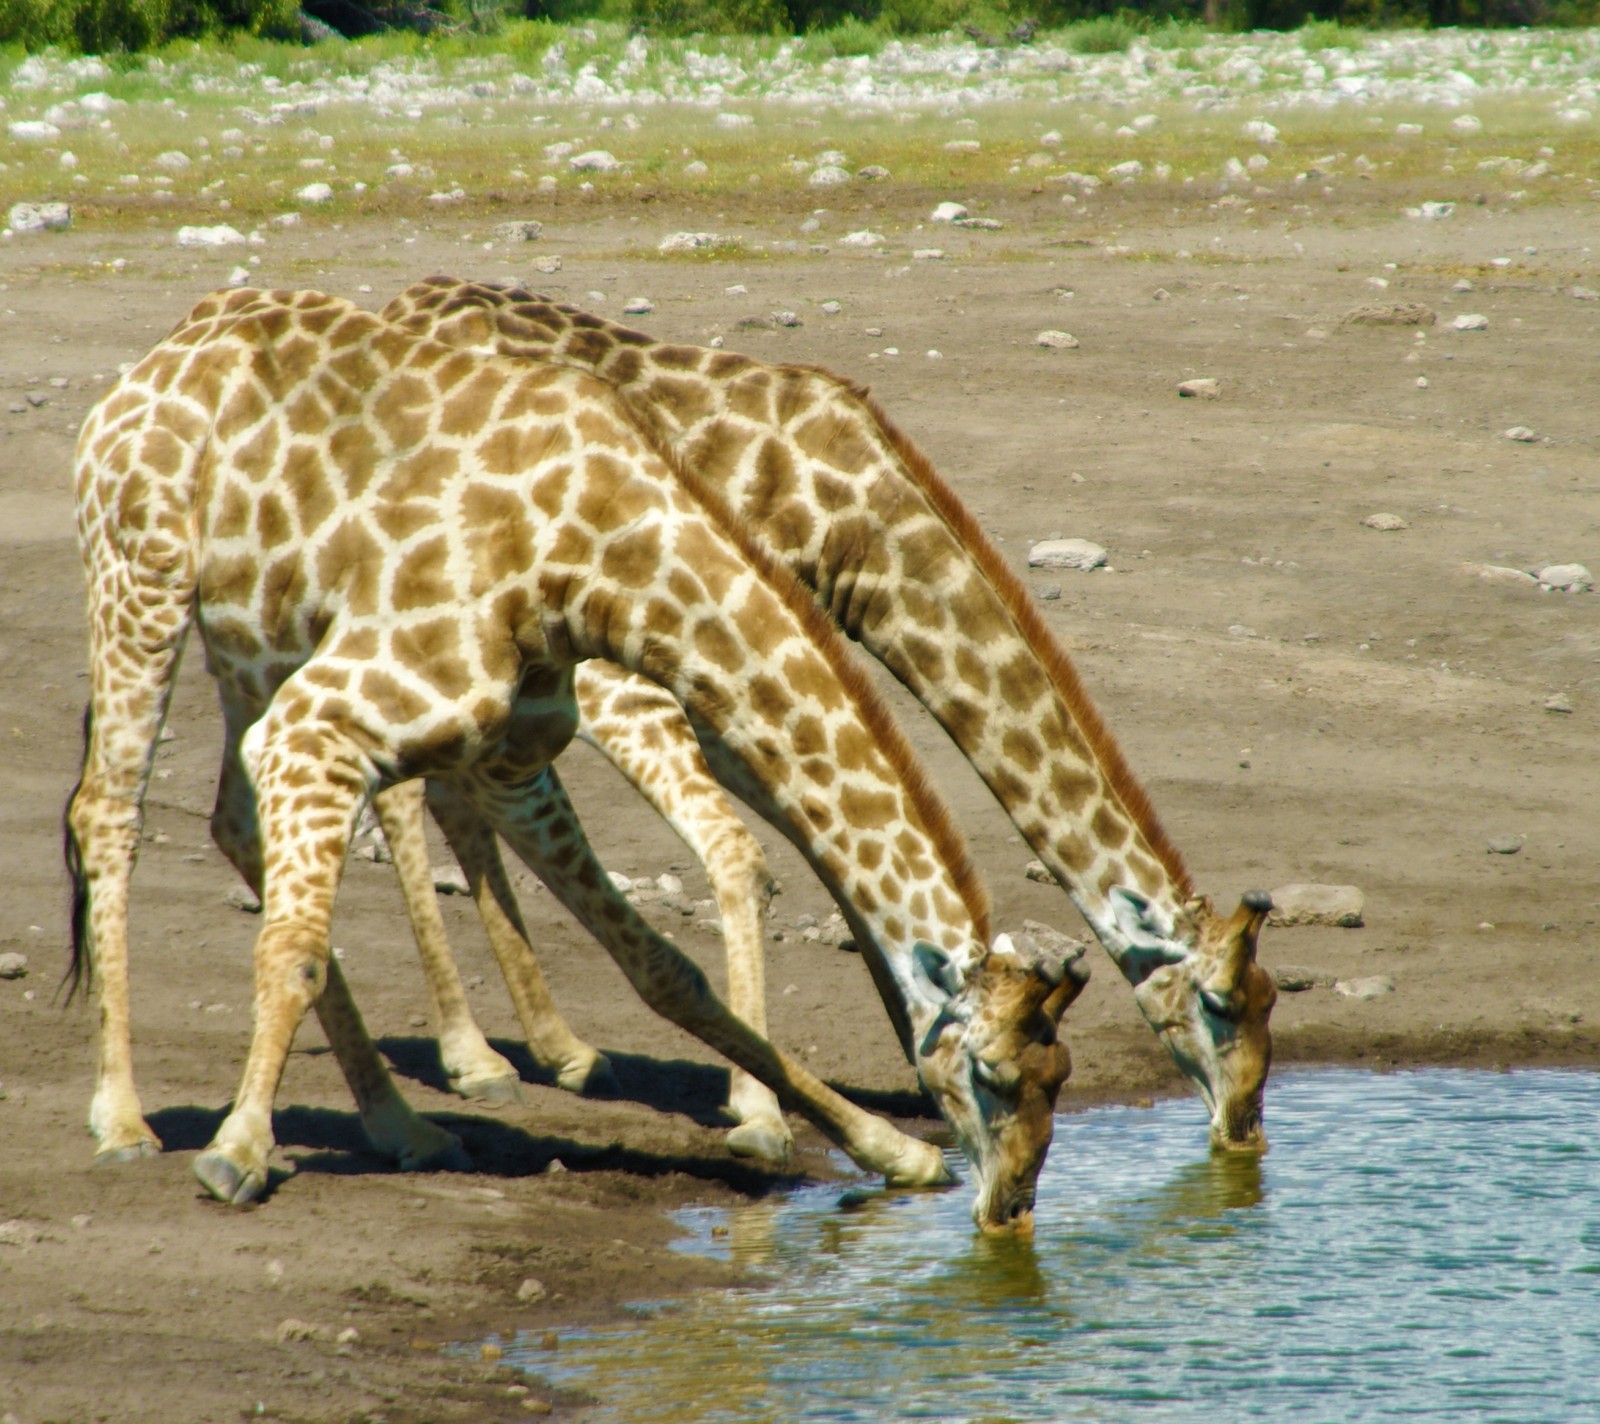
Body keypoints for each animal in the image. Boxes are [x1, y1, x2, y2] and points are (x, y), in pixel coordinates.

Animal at [65, 286, 1088, 1235]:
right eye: (992, 1074)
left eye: (1061, 1075)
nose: (1013, 1206)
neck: (600, 556)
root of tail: (155, 359)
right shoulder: (323, 722)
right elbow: (297, 946)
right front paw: (238, 1150)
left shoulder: (509, 757)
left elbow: (667, 971)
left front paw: (885, 1150)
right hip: (141, 582)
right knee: (106, 812)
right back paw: (122, 1121)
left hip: (251, 638)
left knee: (231, 822)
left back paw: (403, 1125)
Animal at [374, 280, 1273, 1152]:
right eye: (1221, 1004)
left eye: (1270, 1002)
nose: (1244, 1129)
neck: (859, 530)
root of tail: (402, 302)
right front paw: (763, 1107)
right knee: (407, 788)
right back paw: (473, 1059)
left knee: (448, 788)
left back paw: (556, 1049)